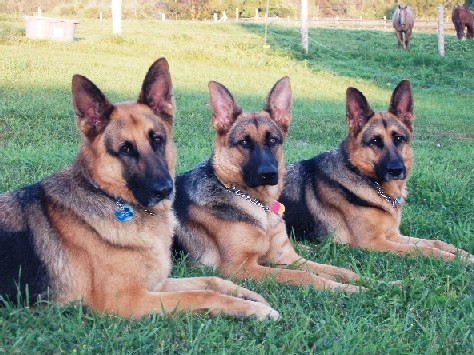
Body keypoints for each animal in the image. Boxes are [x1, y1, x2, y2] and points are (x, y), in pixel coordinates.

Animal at [0, 57, 280, 320]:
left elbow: (210, 280)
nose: (166, 190)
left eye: (157, 139)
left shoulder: (157, 284)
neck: (112, 198)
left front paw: (249, 295)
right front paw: (254, 310)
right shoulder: (129, 300)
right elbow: (202, 294)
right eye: (125, 149)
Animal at [174, 77, 362, 292]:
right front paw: (345, 289)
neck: (258, 205)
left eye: (273, 140)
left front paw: (367, 281)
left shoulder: (286, 256)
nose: (269, 174)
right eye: (244, 142)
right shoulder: (241, 267)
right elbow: (303, 275)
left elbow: (332, 269)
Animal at [280, 80, 474, 264]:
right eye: (374, 141)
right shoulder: (374, 242)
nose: (396, 170)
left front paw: (462, 253)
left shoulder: (394, 235)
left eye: (399, 138)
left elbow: (434, 242)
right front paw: (456, 259)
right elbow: (426, 250)